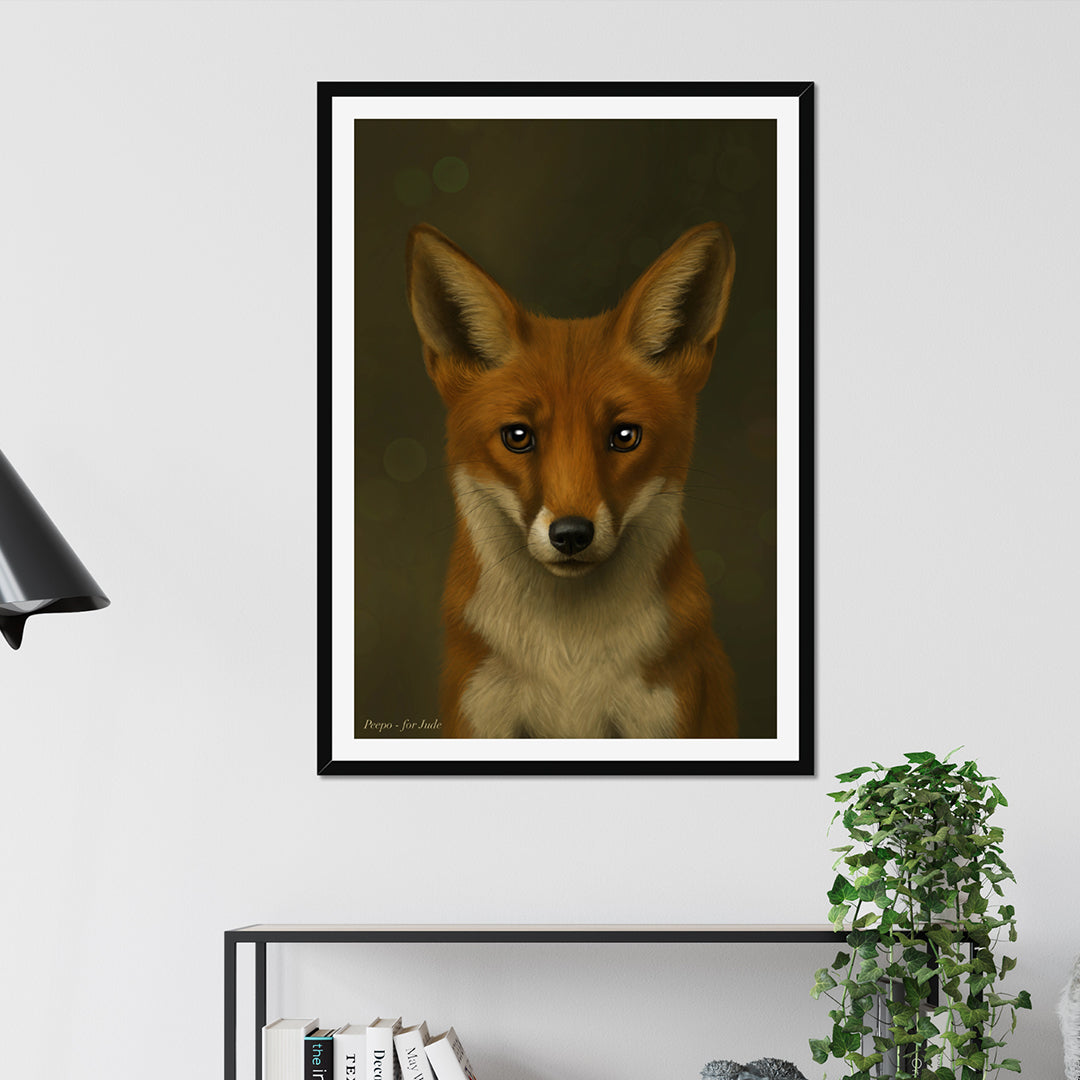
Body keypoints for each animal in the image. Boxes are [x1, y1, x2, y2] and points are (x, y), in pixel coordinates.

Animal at [405, 222, 738, 739]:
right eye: (518, 436)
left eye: (624, 436)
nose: (571, 535)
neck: (568, 663)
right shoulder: (483, 715)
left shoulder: (662, 717)